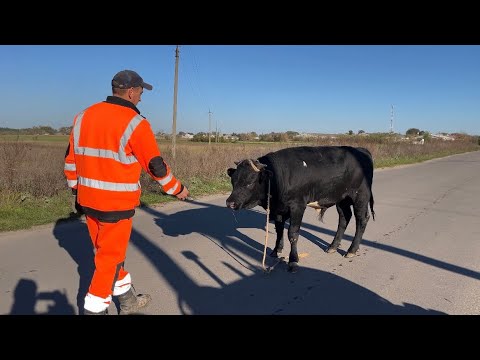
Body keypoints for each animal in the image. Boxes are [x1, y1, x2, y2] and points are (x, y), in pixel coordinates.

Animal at [227, 145, 376, 272]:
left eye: (250, 182)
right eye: (233, 181)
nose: (230, 203)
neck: (279, 176)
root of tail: (361, 150)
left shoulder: (297, 206)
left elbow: (292, 234)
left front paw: (293, 260)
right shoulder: (278, 209)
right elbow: (279, 230)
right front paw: (276, 250)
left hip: (360, 196)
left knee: (361, 219)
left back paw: (352, 250)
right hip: (341, 199)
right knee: (344, 218)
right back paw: (333, 246)